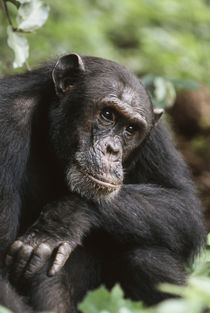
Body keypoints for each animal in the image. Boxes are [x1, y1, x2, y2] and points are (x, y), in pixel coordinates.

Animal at [0, 53, 207, 312]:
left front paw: (66, 217)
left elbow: (183, 205)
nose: (112, 149)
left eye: (131, 129)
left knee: (147, 256)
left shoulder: (155, 136)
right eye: (107, 115)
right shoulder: (7, 121)